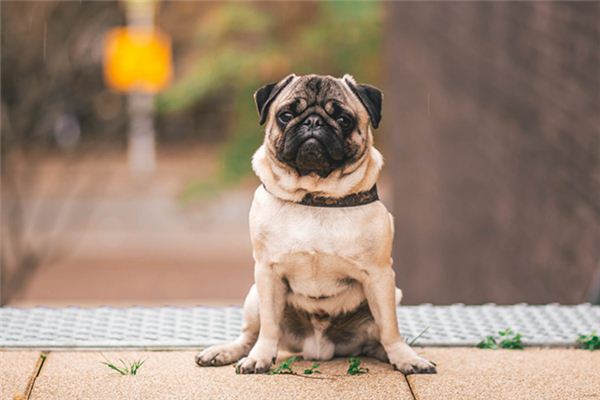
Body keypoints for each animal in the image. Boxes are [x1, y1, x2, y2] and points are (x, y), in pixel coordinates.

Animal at [197, 74, 436, 376]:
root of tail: (319, 348)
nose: (313, 122)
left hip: (392, 294)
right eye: (286, 116)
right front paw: (260, 357)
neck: (315, 196)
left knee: (379, 336)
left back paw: (391, 353)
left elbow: (390, 328)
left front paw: (405, 358)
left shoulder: (379, 275)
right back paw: (226, 352)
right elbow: (269, 328)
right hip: (253, 297)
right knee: (250, 335)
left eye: (344, 120)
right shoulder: (267, 272)